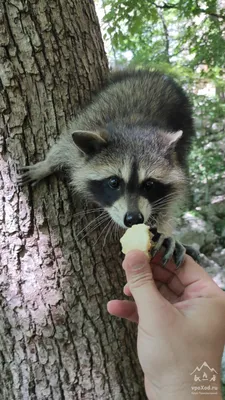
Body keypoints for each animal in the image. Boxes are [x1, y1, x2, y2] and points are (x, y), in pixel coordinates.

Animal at [17, 70, 197, 268]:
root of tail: (160, 76)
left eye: (149, 184)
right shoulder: (88, 124)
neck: (135, 127)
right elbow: (64, 145)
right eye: (114, 182)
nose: (134, 219)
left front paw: (164, 231)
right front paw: (46, 164)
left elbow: (170, 200)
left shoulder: (177, 163)